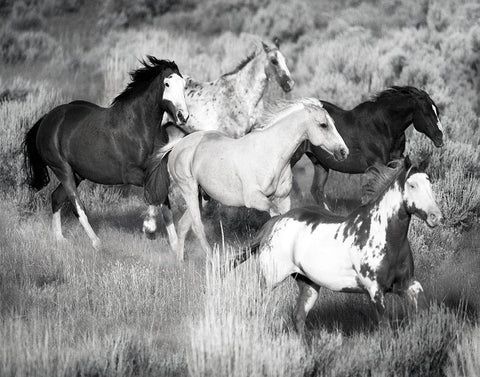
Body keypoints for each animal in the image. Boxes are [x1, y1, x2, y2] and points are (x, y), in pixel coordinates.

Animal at [23, 56, 188, 250]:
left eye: (184, 85)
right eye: (167, 84)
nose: (183, 116)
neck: (137, 127)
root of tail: (46, 119)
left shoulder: (156, 171)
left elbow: (163, 200)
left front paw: (176, 247)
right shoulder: (132, 174)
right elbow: (154, 194)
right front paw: (149, 229)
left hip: (77, 174)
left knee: (56, 198)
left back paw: (60, 239)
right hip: (62, 169)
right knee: (77, 205)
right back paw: (97, 243)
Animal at [161, 98, 348, 260]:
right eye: (323, 125)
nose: (344, 152)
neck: (272, 153)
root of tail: (178, 145)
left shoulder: (283, 199)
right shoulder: (256, 199)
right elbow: (275, 217)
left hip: (204, 196)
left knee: (184, 225)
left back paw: (180, 263)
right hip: (189, 190)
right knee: (197, 226)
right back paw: (213, 261)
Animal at [233, 156, 442, 334]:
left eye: (429, 182)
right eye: (412, 185)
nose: (436, 217)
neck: (386, 238)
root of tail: (274, 223)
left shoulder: (408, 284)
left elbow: (425, 312)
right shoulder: (375, 291)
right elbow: (385, 328)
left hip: (308, 285)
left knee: (298, 317)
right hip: (270, 280)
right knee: (257, 308)